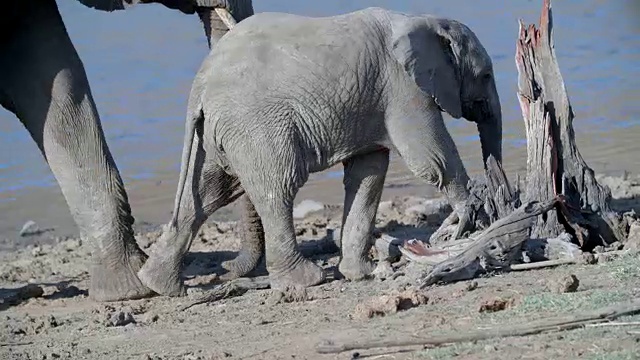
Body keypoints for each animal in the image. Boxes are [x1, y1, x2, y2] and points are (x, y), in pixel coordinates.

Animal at [138, 7, 502, 296]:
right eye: (485, 75)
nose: (497, 196)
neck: (423, 19)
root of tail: (200, 85)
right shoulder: (403, 88)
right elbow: (429, 155)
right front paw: (470, 213)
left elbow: (368, 173)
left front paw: (361, 275)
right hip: (254, 126)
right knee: (277, 188)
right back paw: (306, 281)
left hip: (215, 134)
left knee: (206, 193)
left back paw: (161, 285)